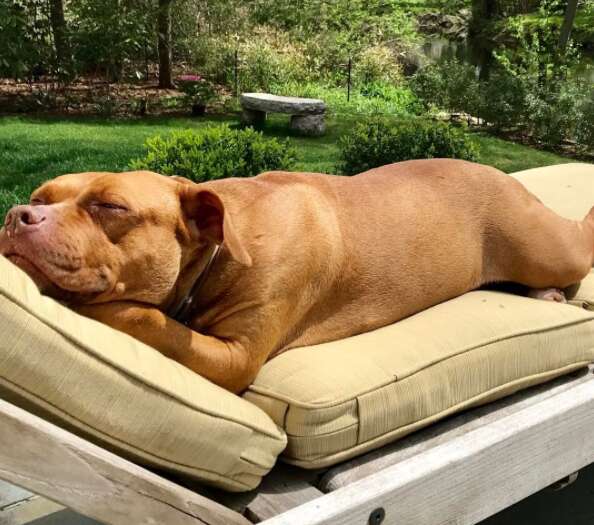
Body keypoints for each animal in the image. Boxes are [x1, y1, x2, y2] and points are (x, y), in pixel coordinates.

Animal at [1, 158, 592, 390]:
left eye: (111, 207)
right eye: (40, 197)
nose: (18, 215)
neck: (218, 250)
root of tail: (504, 174)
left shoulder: (234, 357)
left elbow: (142, 317)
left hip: (548, 245)